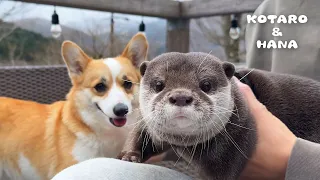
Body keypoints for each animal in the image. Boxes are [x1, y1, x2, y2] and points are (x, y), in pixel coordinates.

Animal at [118, 51, 320, 179]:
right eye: (159, 84)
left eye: (206, 85)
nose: (181, 97)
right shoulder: (147, 124)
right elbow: (138, 135)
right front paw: (130, 156)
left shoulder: (240, 130)